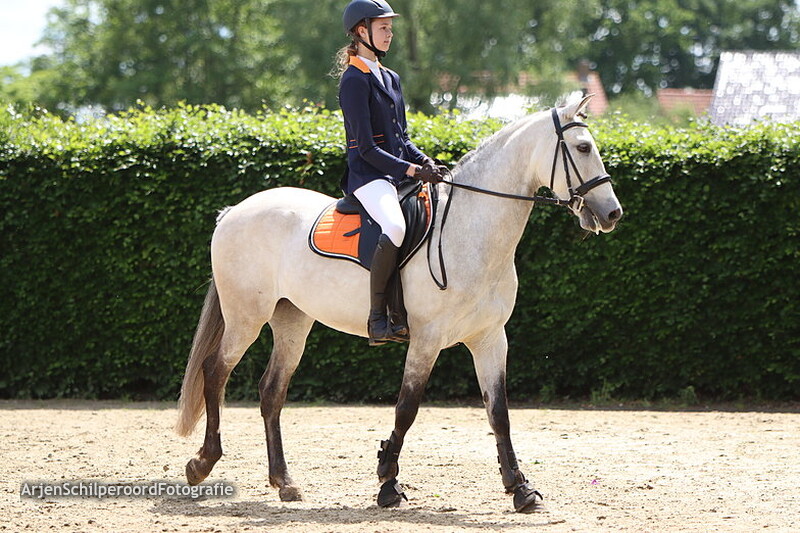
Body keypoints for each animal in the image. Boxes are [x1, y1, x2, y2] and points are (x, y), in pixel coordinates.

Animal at [174, 92, 623, 513]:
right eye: (584, 147)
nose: (612, 213)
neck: (470, 231)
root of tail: (234, 211)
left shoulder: (490, 338)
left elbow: (499, 413)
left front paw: (521, 489)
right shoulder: (427, 339)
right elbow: (407, 408)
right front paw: (388, 482)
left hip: (292, 320)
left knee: (271, 391)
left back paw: (284, 482)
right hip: (245, 317)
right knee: (215, 372)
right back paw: (201, 463)